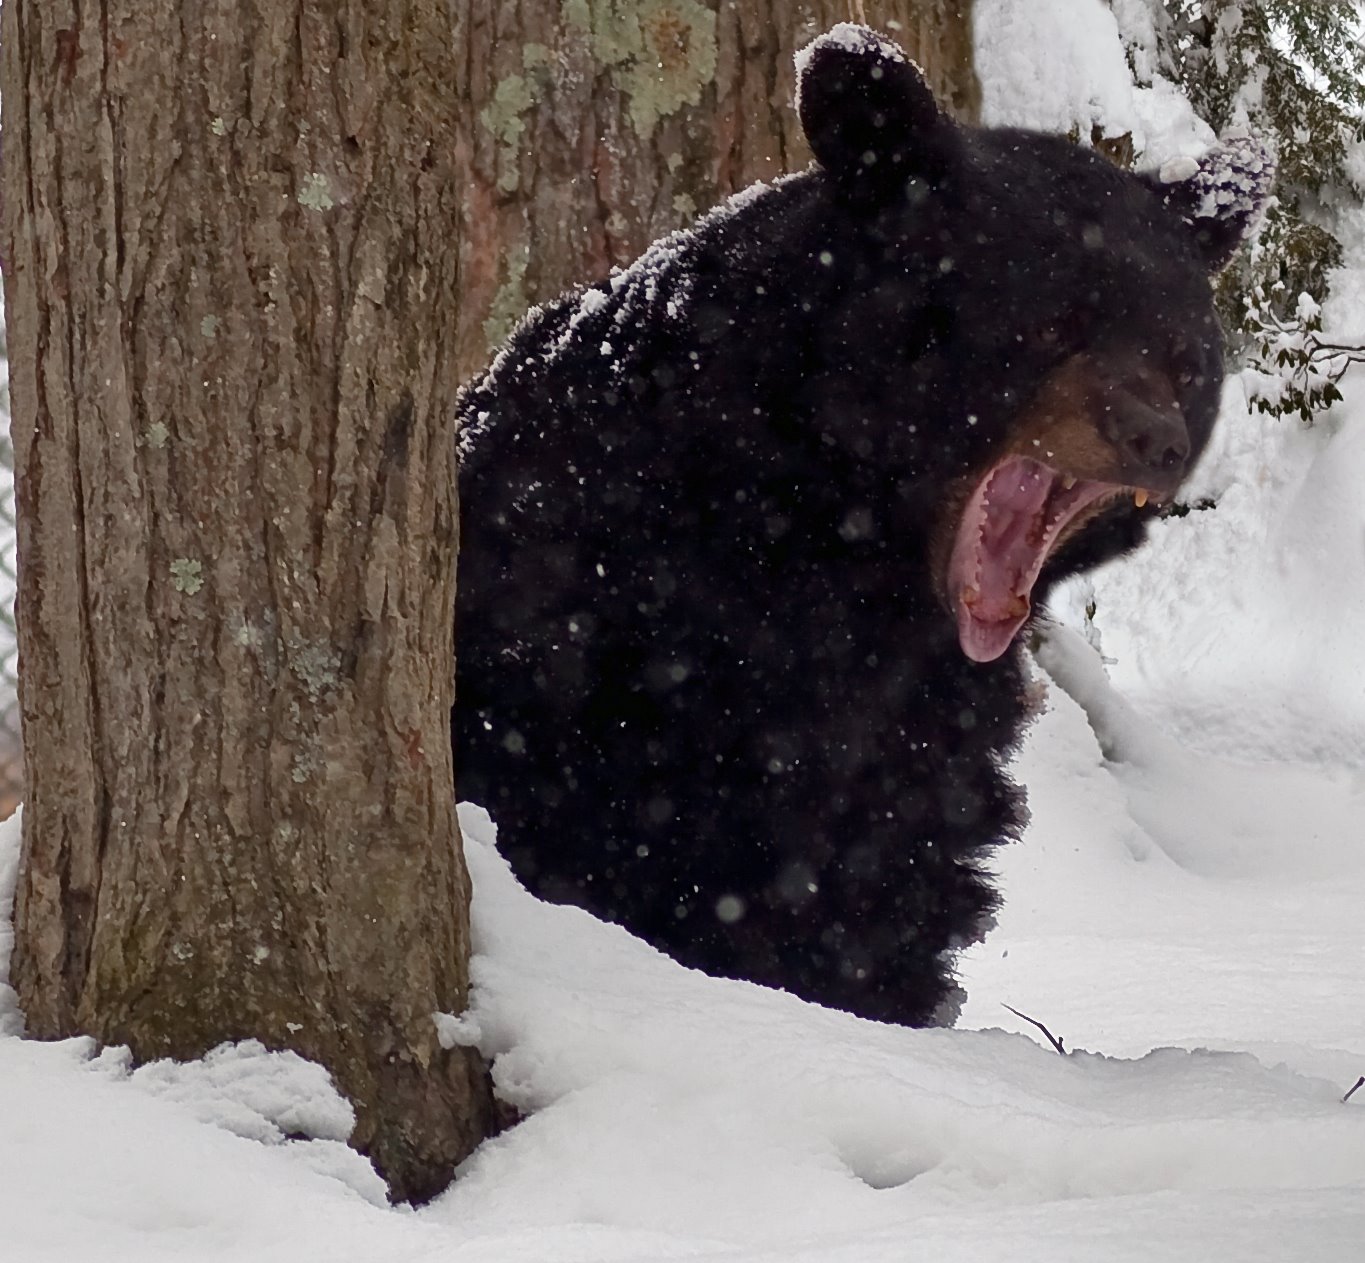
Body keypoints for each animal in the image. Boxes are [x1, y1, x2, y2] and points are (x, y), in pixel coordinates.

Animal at [455, 22, 1266, 1026]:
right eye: (1051, 318)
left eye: (1183, 354)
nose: (1155, 438)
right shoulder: (599, 651)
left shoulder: (916, 747)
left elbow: (883, 893)